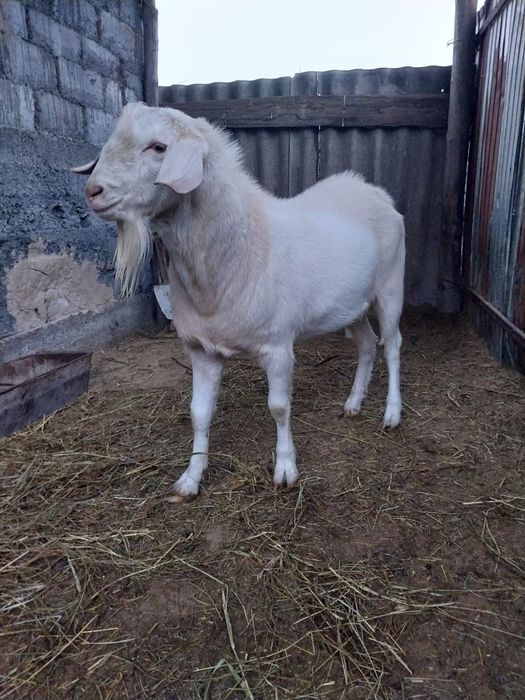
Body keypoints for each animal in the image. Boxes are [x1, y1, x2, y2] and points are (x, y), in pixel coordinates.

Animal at [73, 102, 405, 500]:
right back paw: (354, 403)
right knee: (368, 344)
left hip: (391, 285)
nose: (93, 191)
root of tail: (374, 191)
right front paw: (190, 478)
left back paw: (392, 414)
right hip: (352, 304)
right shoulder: (201, 350)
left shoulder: (278, 347)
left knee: (392, 344)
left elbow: (279, 408)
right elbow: (199, 413)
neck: (241, 247)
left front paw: (285, 469)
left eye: (158, 147)